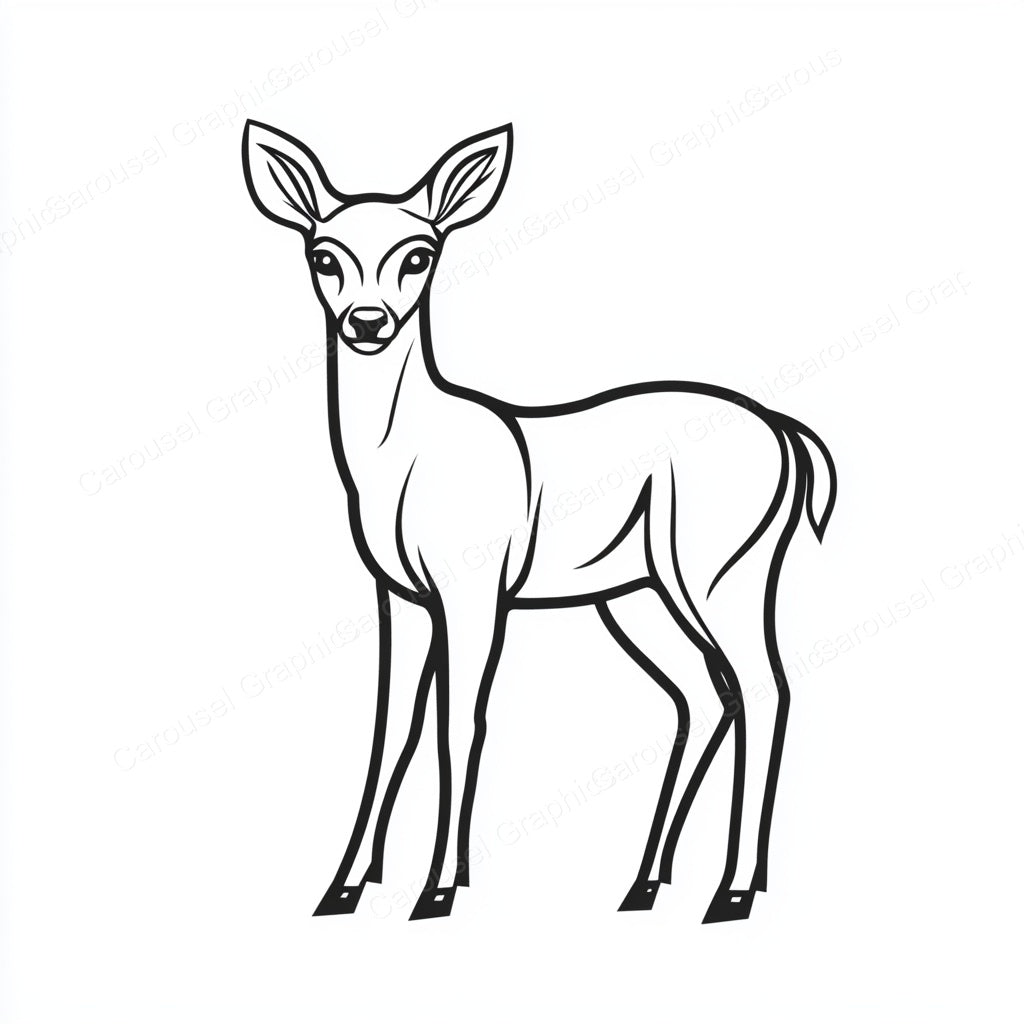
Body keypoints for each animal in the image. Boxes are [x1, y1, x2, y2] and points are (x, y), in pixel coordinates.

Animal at [241, 120, 837, 923]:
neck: (406, 457)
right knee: (705, 694)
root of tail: (784, 431)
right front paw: (342, 889)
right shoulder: (400, 595)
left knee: (765, 688)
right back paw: (644, 886)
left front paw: (437, 891)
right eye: (323, 255)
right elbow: (392, 727)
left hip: (720, 571)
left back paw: (732, 893)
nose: (368, 322)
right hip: (636, 594)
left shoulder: (473, 587)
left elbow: (461, 721)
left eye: (420, 254)